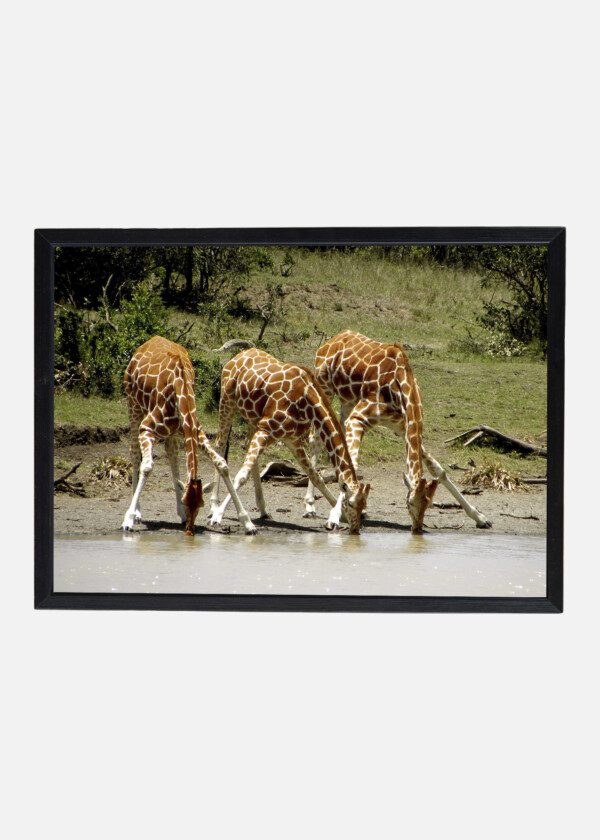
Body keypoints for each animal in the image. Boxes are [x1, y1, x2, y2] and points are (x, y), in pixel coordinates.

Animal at [122, 336, 256, 536]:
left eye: (200, 504)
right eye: (187, 502)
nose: (190, 532)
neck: (181, 389)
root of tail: (148, 342)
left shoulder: (195, 431)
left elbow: (222, 464)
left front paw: (247, 523)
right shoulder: (147, 428)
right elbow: (147, 467)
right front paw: (129, 519)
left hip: (169, 430)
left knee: (171, 453)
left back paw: (179, 514)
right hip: (133, 404)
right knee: (135, 452)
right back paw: (138, 512)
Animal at [208, 348, 371, 534]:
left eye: (364, 505)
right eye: (351, 503)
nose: (355, 529)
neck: (307, 401)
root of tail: (238, 356)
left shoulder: (291, 438)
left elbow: (315, 476)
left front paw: (337, 517)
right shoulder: (266, 429)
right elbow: (241, 476)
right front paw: (221, 517)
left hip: (252, 419)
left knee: (248, 450)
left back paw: (263, 510)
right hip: (227, 401)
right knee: (220, 446)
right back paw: (213, 507)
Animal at [306, 330, 492, 533]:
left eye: (429, 504)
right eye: (409, 503)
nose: (417, 529)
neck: (400, 386)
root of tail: (333, 339)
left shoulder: (402, 427)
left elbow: (438, 469)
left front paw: (480, 517)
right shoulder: (358, 418)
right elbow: (351, 466)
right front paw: (333, 518)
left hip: (347, 401)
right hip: (325, 388)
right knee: (315, 439)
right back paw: (310, 506)